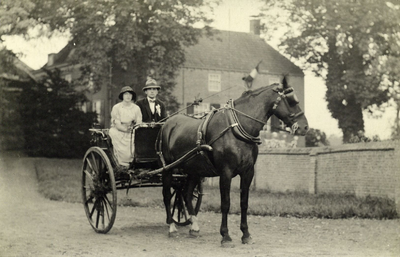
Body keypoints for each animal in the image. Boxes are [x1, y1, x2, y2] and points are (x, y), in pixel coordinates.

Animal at [158, 78, 308, 246]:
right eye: (291, 100)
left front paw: (246, 234)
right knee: (166, 195)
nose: (304, 127)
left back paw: (194, 226)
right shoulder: (226, 173)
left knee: (186, 193)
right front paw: (225, 235)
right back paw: (172, 227)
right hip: (168, 169)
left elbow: (244, 203)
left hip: (194, 170)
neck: (237, 128)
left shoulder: (248, 172)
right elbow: (225, 203)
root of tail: (168, 123)